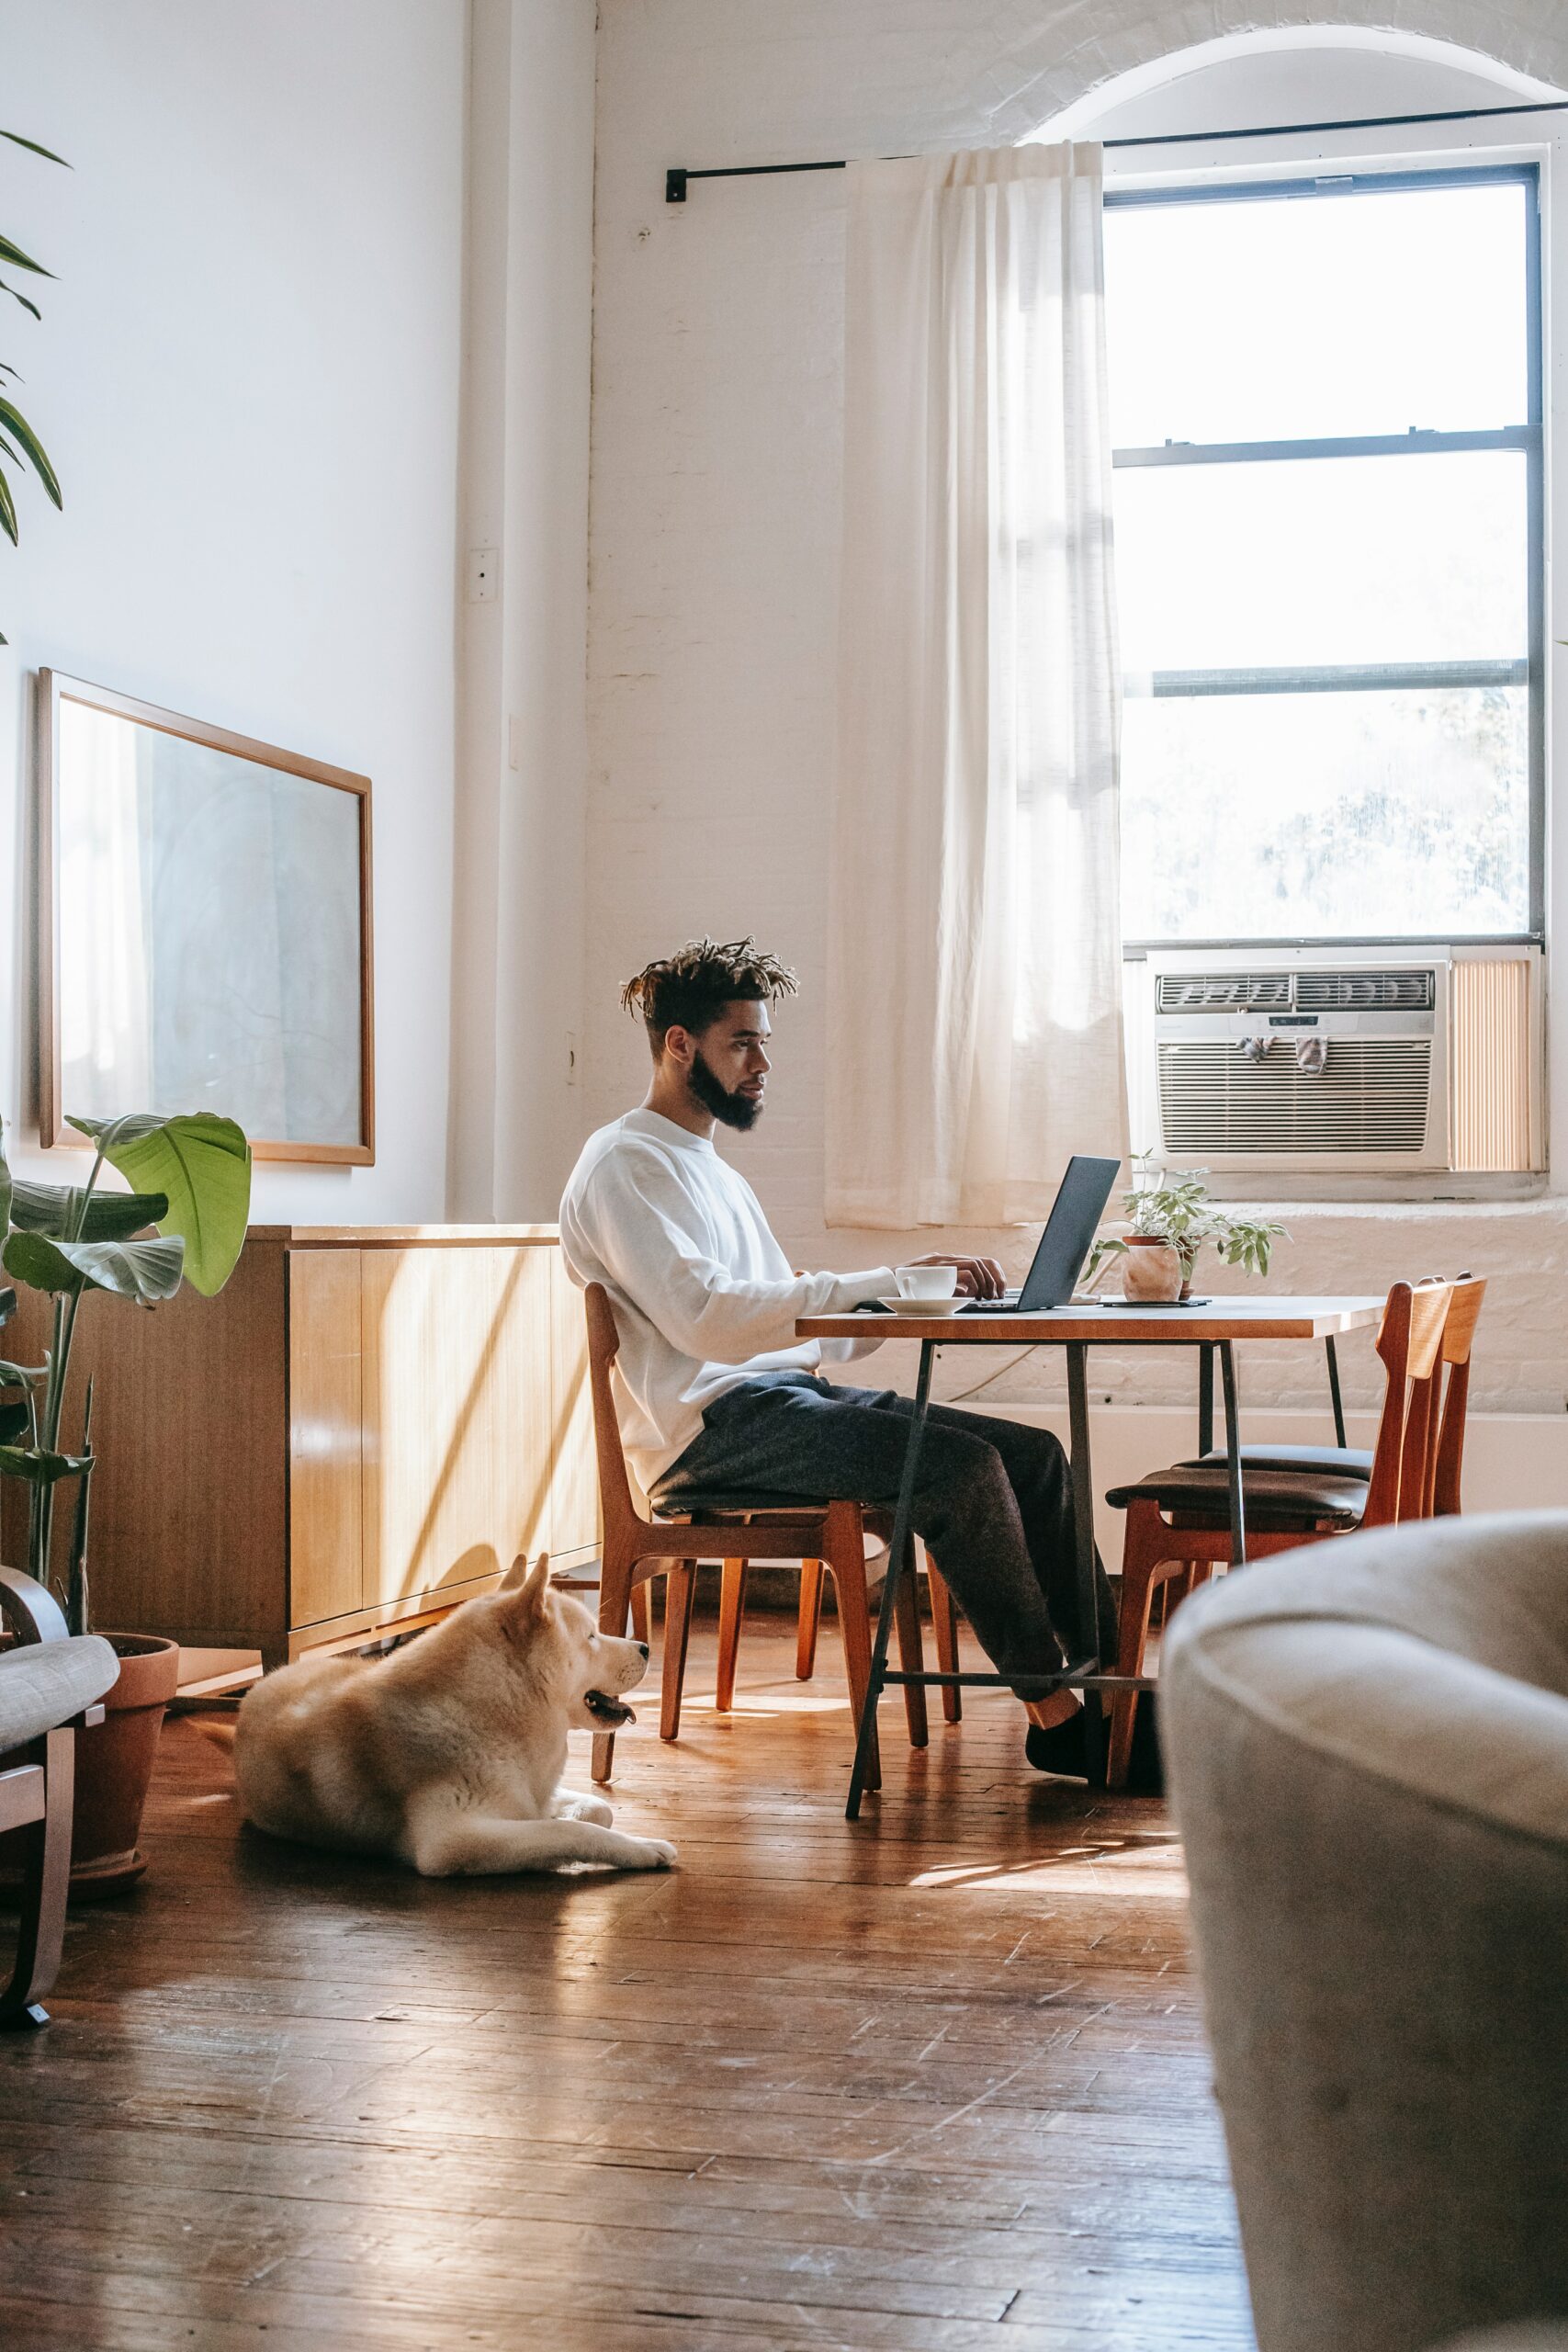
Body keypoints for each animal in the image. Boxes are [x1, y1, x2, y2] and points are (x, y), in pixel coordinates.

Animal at [236, 1561, 671, 1871]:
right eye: (592, 1637)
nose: (647, 1647)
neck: (488, 1712)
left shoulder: (522, 1794)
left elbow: (595, 1810)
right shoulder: (449, 1840)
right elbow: (566, 1829)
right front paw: (643, 1847)